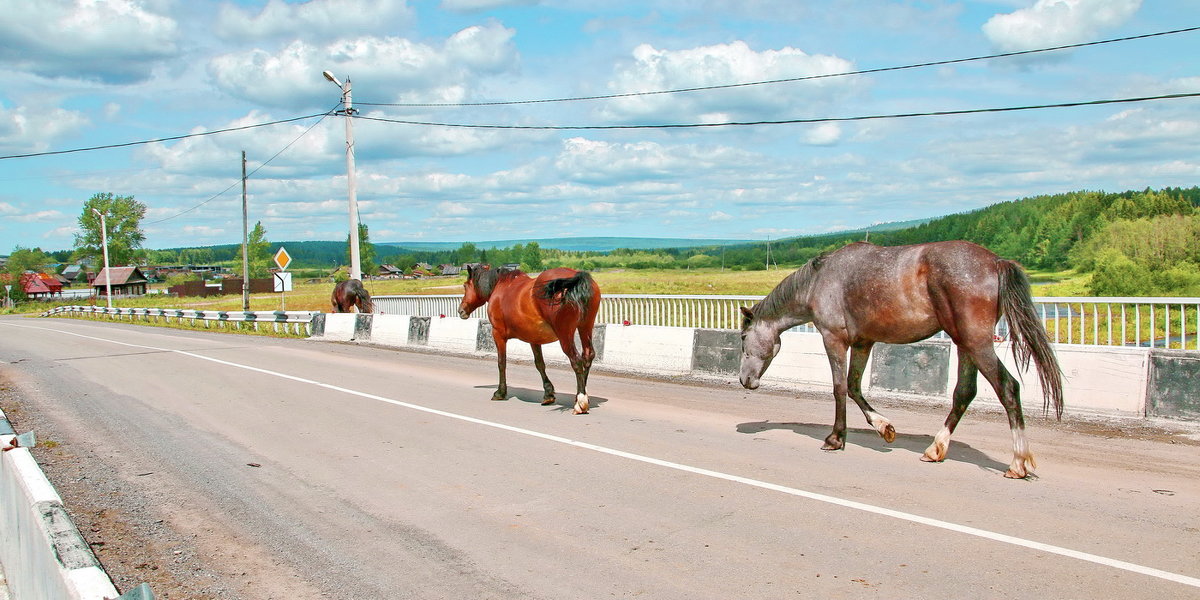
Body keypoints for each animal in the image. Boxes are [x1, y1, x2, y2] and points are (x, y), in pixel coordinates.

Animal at [463, 265, 604, 415]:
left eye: (465, 286)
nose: (461, 310)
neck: (500, 286)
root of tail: (576, 277)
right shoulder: (534, 339)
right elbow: (539, 364)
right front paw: (548, 393)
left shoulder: (498, 334)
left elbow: (501, 363)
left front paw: (500, 392)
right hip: (585, 327)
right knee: (587, 355)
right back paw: (582, 395)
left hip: (565, 335)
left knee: (576, 360)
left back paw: (580, 401)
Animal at [734, 240, 1065, 477]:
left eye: (742, 338)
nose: (744, 379)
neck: (819, 281)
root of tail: (996, 262)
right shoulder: (864, 342)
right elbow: (854, 387)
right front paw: (885, 428)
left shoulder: (834, 339)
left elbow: (839, 388)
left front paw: (835, 438)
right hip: (965, 345)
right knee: (963, 393)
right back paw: (935, 449)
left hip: (977, 343)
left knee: (1008, 387)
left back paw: (1018, 463)